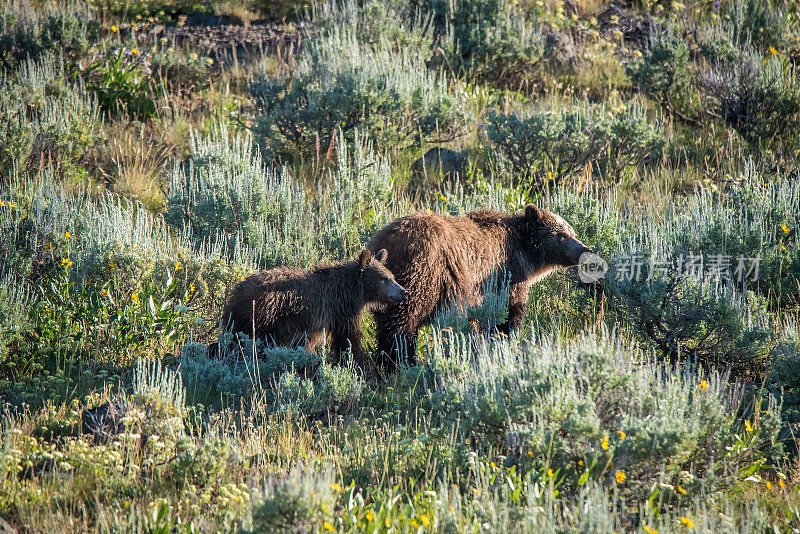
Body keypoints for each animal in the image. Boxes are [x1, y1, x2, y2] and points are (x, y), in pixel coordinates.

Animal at [217, 251, 406, 364]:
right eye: (384, 278)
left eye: (392, 276)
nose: (404, 292)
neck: (351, 290)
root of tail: (235, 291)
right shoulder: (341, 311)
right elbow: (348, 337)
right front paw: (353, 361)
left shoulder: (318, 321)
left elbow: (309, 342)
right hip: (261, 317)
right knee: (242, 340)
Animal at [366, 205, 592, 368]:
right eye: (562, 235)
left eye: (572, 232)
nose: (585, 249)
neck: (524, 253)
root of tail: (387, 243)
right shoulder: (506, 276)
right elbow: (508, 312)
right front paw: (503, 338)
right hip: (421, 277)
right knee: (402, 322)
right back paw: (402, 361)